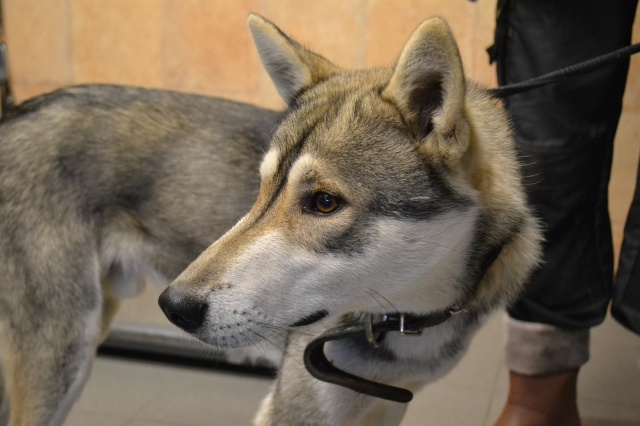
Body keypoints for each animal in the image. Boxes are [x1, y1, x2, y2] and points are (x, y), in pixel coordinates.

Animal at [158, 14, 543, 426]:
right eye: (262, 188)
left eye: (324, 202)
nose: (174, 306)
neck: (404, 317)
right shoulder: (296, 408)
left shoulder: (387, 402)